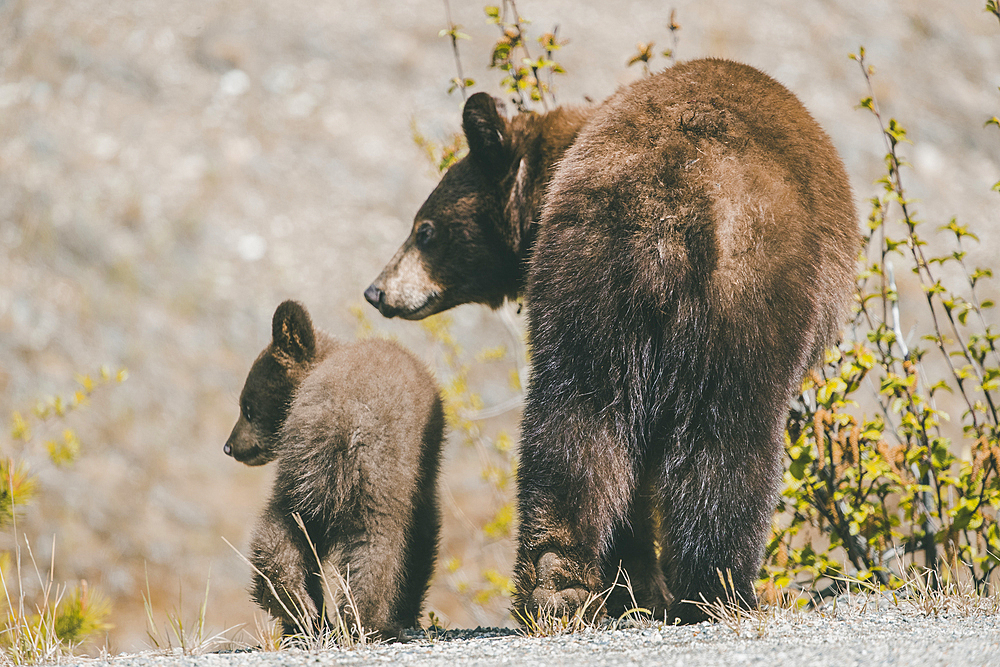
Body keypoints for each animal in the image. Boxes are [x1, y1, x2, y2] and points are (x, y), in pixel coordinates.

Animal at [364, 58, 856, 628]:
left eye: (424, 230)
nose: (376, 291)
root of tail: (670, 199)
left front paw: (633, 588)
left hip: (587, 281)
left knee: (576, 424)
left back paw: (559, 584)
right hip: (745, 292)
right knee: (729, 435)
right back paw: (715, 590)